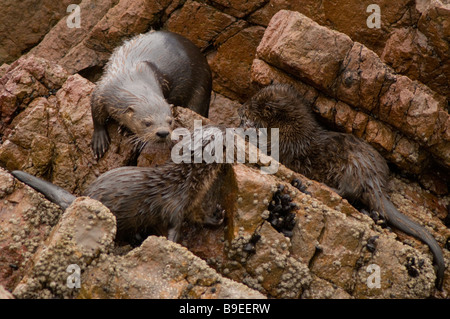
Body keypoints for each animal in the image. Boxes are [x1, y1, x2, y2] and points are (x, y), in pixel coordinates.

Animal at [91, 29, 213, 159]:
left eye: (170, 121)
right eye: (147, 123)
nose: (163, 132)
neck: (132, 78)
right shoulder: (102, 90)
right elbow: (95, 111)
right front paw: (99, 139)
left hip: (201, 89)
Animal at [239, 84, 446, 292]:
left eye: (254, 105)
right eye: (252, 98)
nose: (243, 107)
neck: (292, 131)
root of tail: (376, 181)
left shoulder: (285, 146)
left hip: (352, 166)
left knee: (349, 191)